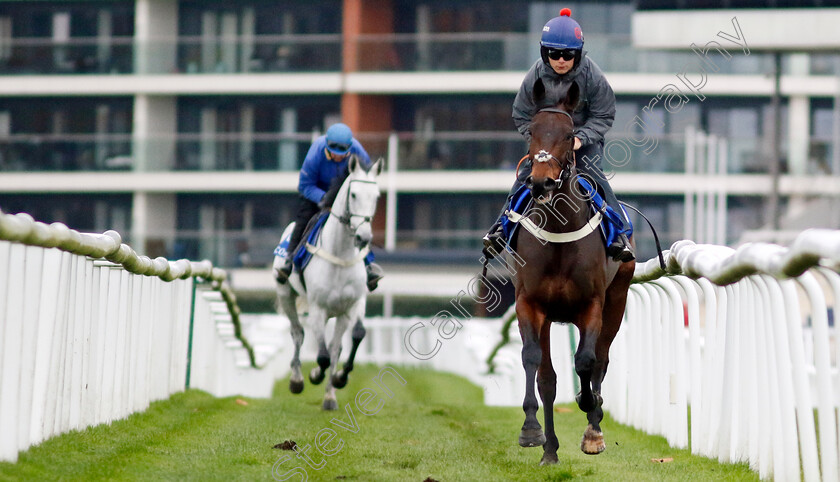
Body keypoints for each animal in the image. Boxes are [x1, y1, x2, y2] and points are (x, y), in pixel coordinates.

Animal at [274, 155, 382, 410]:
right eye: (354, 195)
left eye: (376, 196)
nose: (364, 237)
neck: (340, 255)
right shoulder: (317, 308)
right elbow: (321, 355)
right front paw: (314, 375)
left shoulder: (355, 303)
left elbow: (356, 335)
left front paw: (340, 378)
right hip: (286, 295)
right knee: (298, 333)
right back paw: (297, 380)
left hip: (340, 313)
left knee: (335, 347)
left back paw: (330, 395)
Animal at [512, 83, 636, 464]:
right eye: (532, 132)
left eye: (569, 135)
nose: (541, 182)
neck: (559, 232)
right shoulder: (530, 304)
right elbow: (535, 364)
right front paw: (531, 431)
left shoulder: (591, 305)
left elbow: (586, 361)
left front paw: (589, 407)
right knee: (548, 378)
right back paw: (550, 449)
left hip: (617, 298)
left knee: (601, 360)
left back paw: (593, 425)